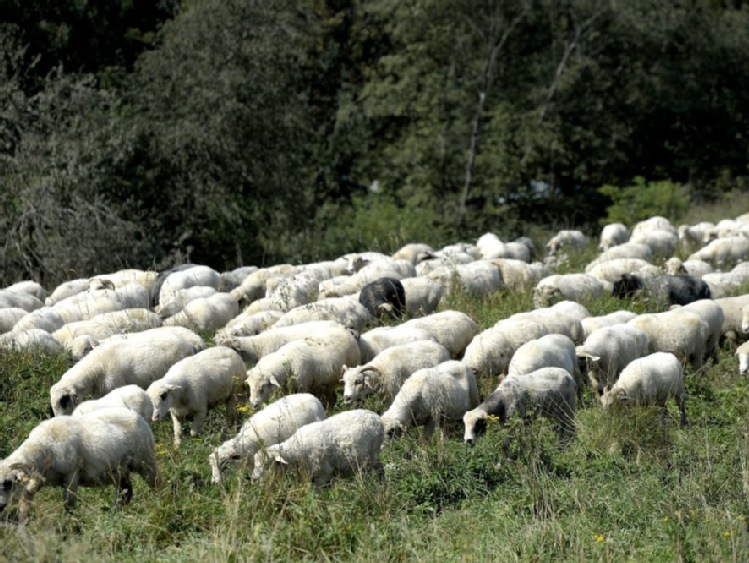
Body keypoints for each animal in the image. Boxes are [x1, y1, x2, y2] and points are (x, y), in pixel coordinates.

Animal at [0, 410, 156, 524]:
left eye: (8, 483)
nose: (0, 506)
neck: (45, 444)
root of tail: (138, 416)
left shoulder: (72, 475)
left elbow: (69, 504)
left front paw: (70, 525)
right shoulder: (35, 480)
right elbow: (24, 503)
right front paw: (23, 525)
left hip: (146, 460)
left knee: (155, 484)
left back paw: (157, 503)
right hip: (120, 470)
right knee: (126, 491)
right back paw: (115, 513)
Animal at [253, 408, 386, 486]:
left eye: (267, 464)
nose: (254, 479)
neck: (295, 449)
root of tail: (377, 417)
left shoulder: (322, 471)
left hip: (372, 452)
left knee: (378, 468)